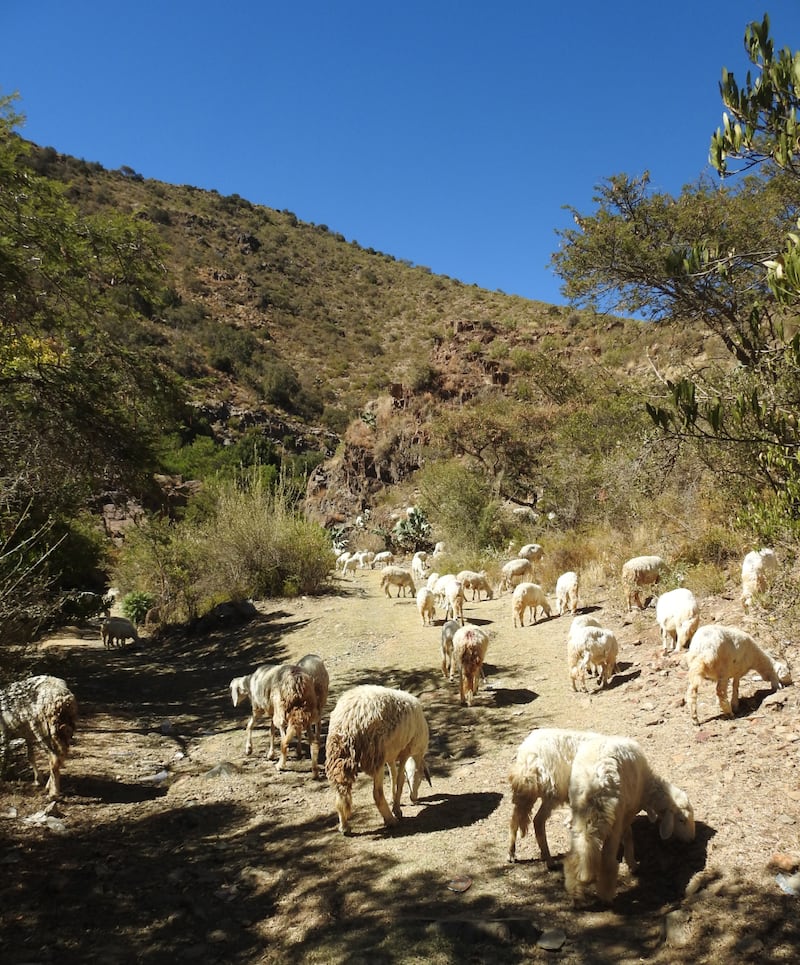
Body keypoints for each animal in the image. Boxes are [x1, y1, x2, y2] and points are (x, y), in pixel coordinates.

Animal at [0, 672, 77, 800]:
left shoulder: (3, 735)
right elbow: (30, 756)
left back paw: (53, 793)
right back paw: (49, 786)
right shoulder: (27, 736)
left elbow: (3, 757)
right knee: (60, 756)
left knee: (54, 758)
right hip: (62, 729)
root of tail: (62, 698)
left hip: (43, 728)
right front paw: (37, 780)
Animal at [324, 680, 432, 832]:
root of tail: (349, 720)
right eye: (421, 778)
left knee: (341, 788)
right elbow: (400, 780)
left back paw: (344, 826)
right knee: (377, 793)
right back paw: (390, 820)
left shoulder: (391, 756)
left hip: (338, 754)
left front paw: (394, 800)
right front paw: (397, 810)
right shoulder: (405, 752)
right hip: (375, 755)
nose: (414, 799)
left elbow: (393, 776)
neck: (417, 754)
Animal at [510, 724, 604, 868]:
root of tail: (529, 755)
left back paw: (511, 854)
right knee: (538, 821)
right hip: (552, 792)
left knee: (515, 819)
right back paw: (549, 860)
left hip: (525, 791)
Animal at [564, 740, 692, 904]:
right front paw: (632, 863)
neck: (647, 788)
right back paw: (606, 895)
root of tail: (595, 783)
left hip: (579, 811)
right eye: (682, 820)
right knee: (607, 861)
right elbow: (628, 835)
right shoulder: (629, 811)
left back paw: (575, 891)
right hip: (615, 814)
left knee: (577, 851)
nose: (692, 839)